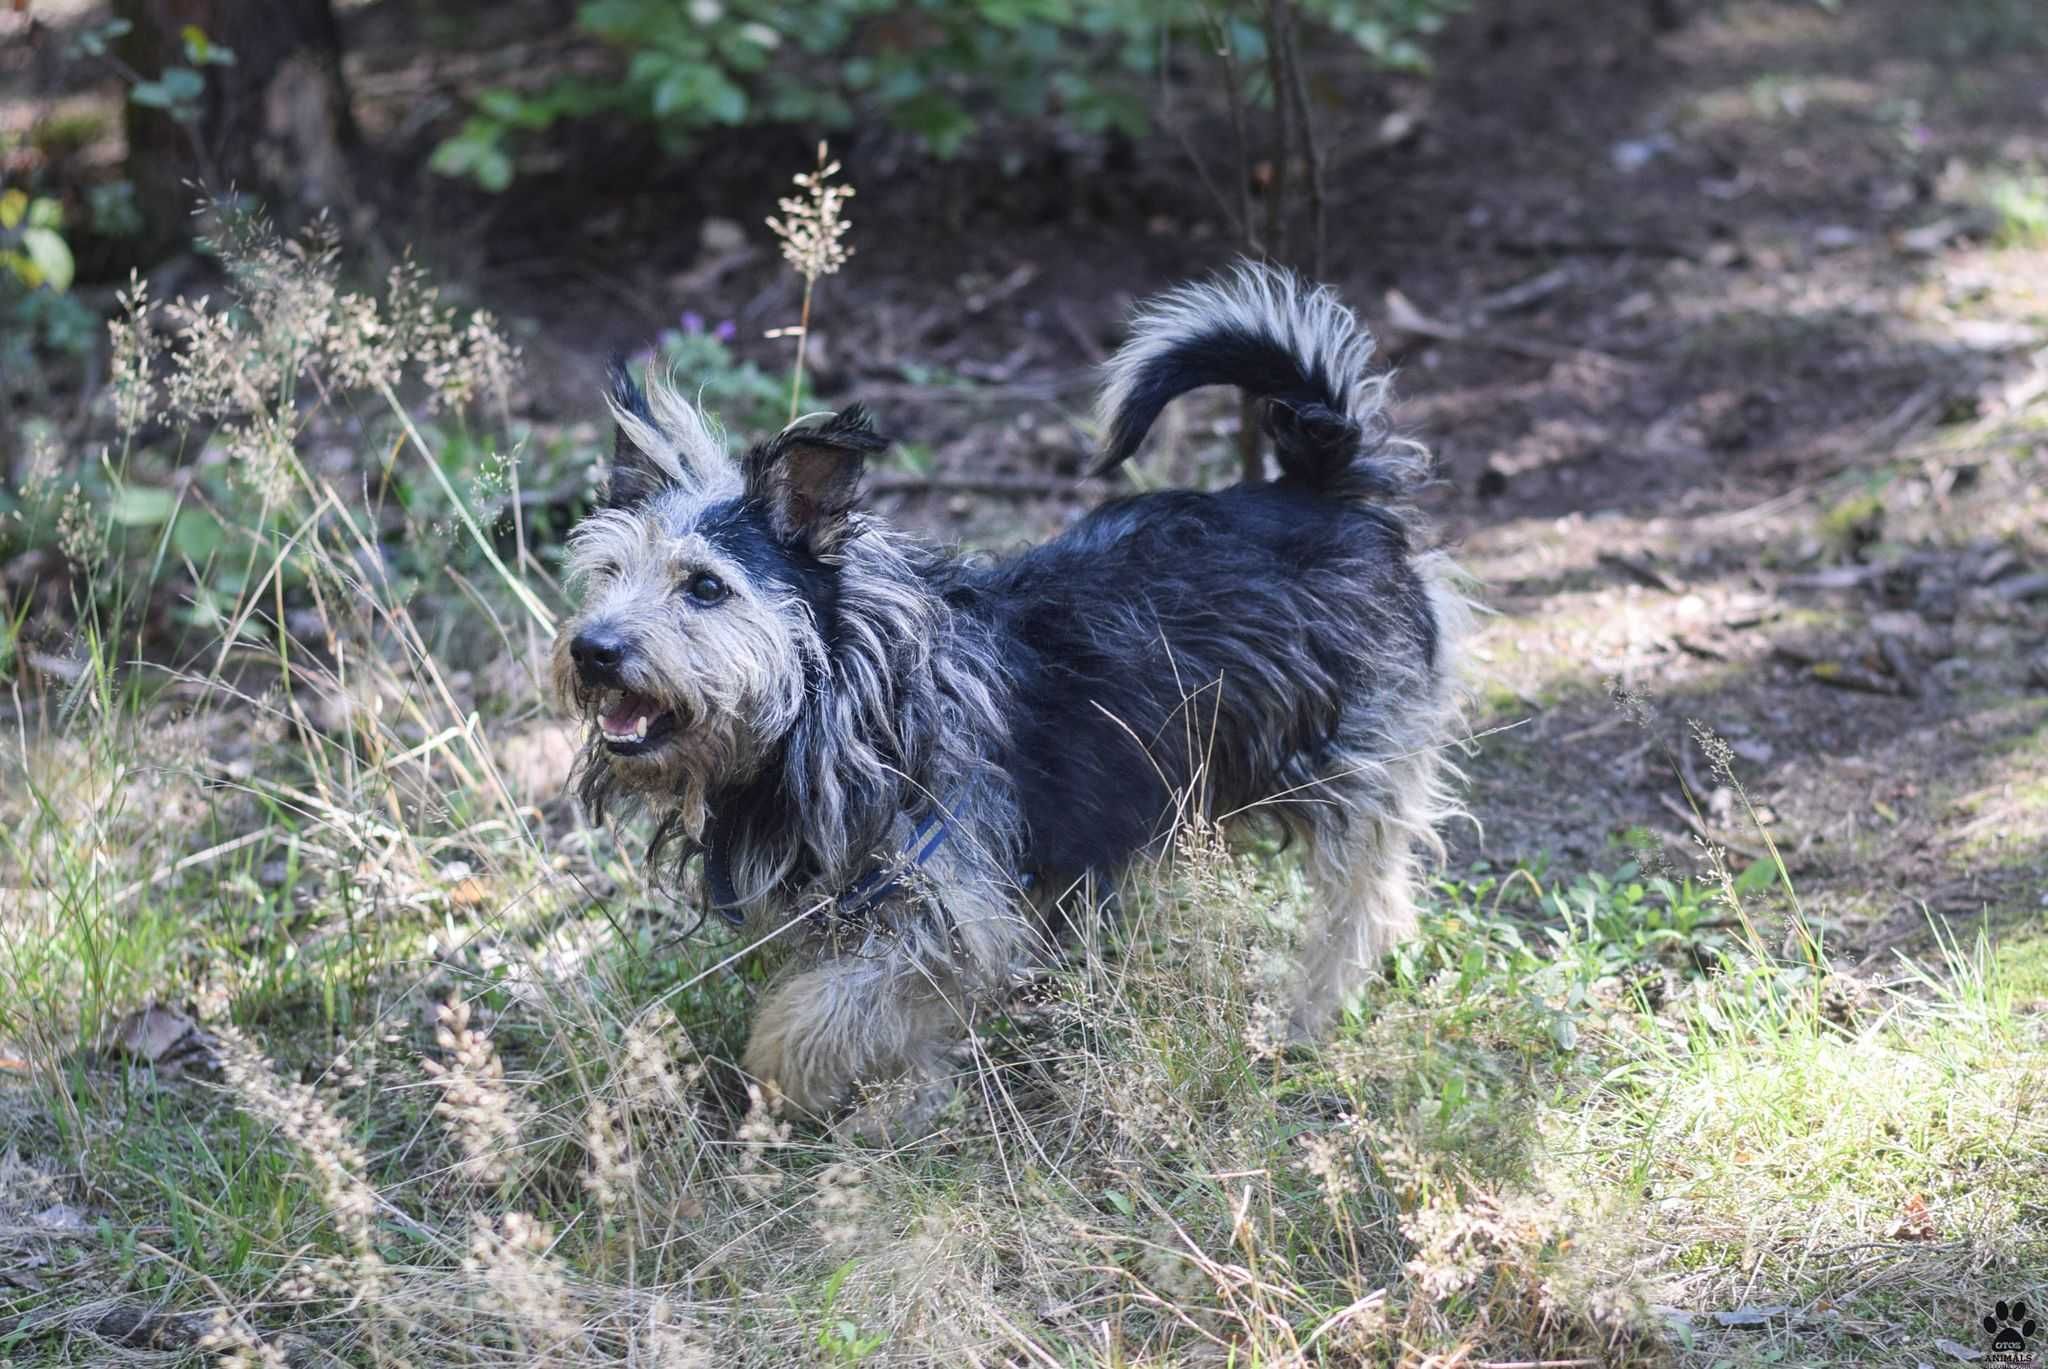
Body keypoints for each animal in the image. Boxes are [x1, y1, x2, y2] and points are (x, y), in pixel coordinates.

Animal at [552, 262, 1466, 1131]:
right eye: (609, 573)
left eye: (705, 587)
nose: (593, 650)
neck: (841, 691)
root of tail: (1326, 488)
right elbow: (887, 1015)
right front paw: (908, 1104)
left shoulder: (954, 902)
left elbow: (823, 1012)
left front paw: (795, 1084)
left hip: (1353, 763)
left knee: (1366, 904)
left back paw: (1305, 1019)